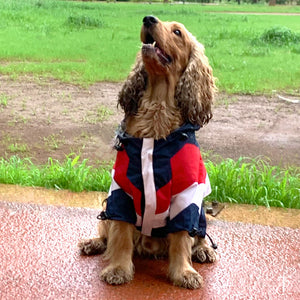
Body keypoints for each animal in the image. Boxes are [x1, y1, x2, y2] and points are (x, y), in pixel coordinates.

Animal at [78, 15, 217, 290]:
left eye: (177, 32)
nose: (148, 18)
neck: (157, 106)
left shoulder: (186, 196)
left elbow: (182, 238)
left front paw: (184, 273)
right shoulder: (122, 192)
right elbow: (120, 236)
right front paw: (118, 270)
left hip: (201, 212)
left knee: (200, 234)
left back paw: (203, 250)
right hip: (107, 206)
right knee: (105, 230)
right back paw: (93, 243)